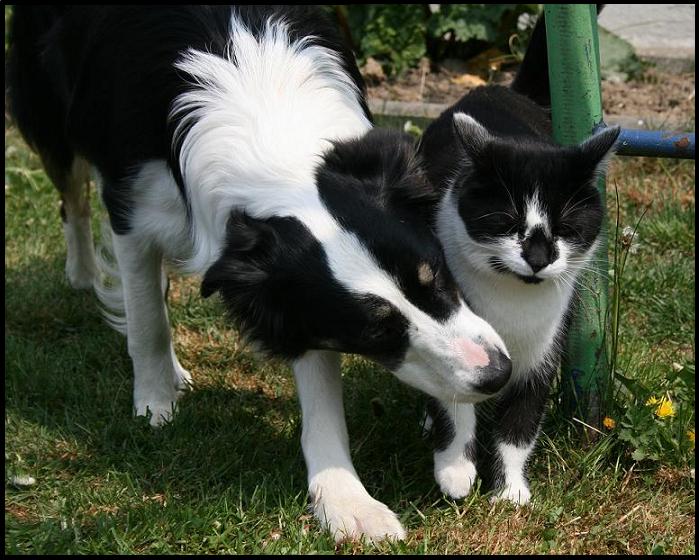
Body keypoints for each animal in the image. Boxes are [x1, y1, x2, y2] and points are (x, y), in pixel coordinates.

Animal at [6, 5, 516, 544]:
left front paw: (347, 500)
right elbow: (147, 320)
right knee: (72, 195)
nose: (499, 374)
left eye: (436, 275)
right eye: (373, 331)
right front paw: (153, 403)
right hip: (47, 105)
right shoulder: (132, 203)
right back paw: (83, 273)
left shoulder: (295, 295)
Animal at [418, 63, 620, 500]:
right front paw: (456, 472)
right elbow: (454, 408)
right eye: (507, 223)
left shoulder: (542, 352)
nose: (539, 259)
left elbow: (520, 425)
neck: (512, 303)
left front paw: (509, 492)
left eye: (565, 227)